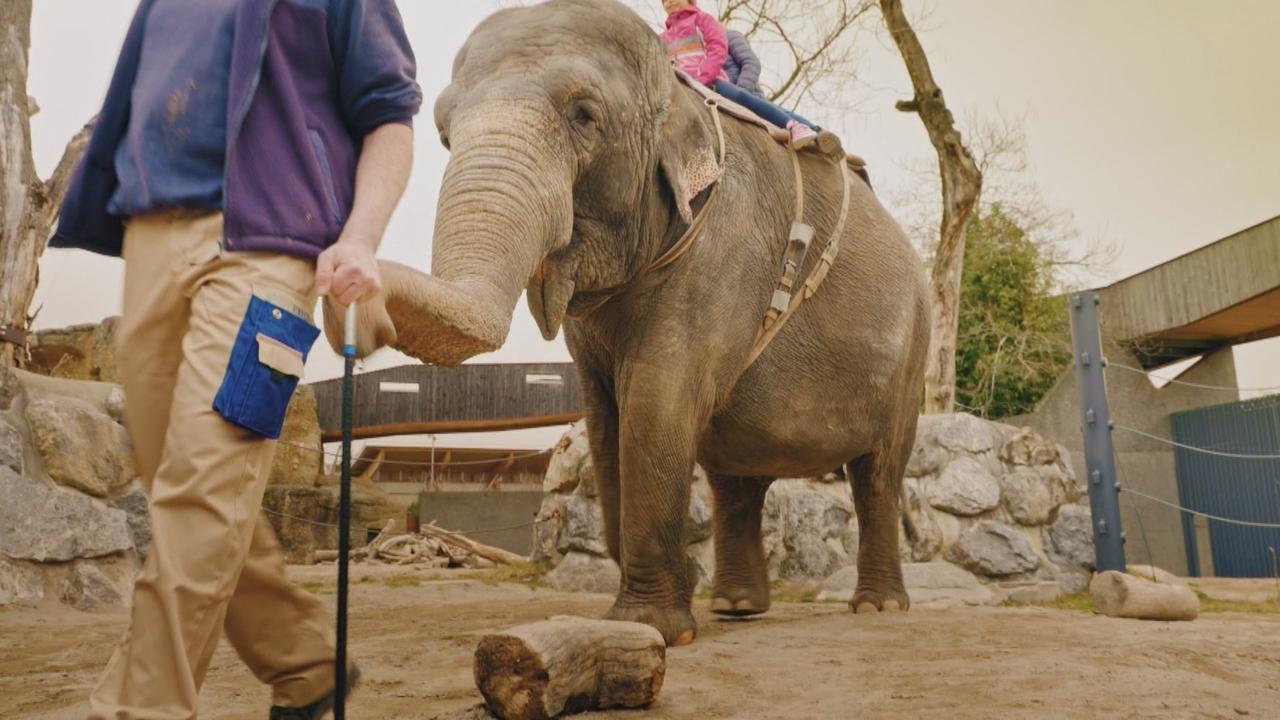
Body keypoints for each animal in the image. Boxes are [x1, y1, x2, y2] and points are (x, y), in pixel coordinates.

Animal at [330, 0, 931, 640]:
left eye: (584, 116)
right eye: (444, 135)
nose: (351, 296)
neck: (676, 92)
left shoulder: (723, 252)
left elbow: (654, 402)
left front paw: (656, 627)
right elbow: (605, 420)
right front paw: (670, 608)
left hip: (911, 350)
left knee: (879, 473)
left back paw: (878, 607)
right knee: (735, 478)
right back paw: (736, 606)